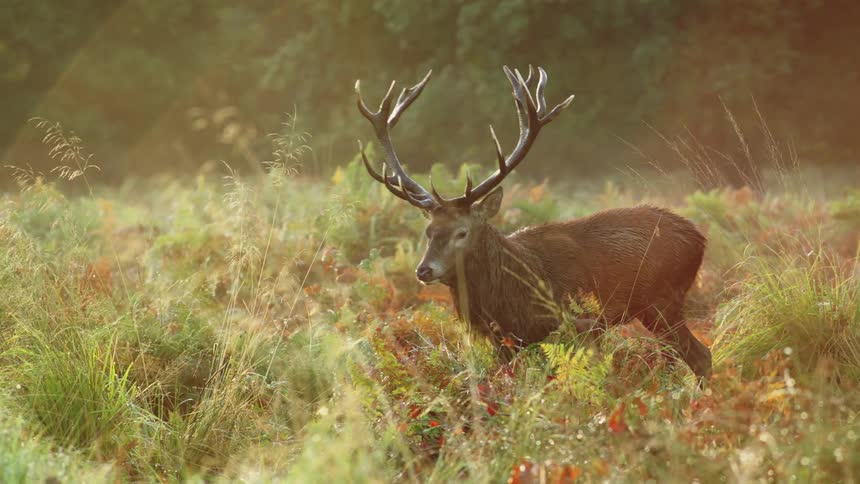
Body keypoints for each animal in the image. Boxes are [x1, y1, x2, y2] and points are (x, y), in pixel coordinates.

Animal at [354, 66, 713, 382]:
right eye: (428, 232)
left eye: (462, 232)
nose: (424, 270)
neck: (510, 298)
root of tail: (699, 238)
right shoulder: (505, 342)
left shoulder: (579, 325)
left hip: (664, 300)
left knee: (700, 356)